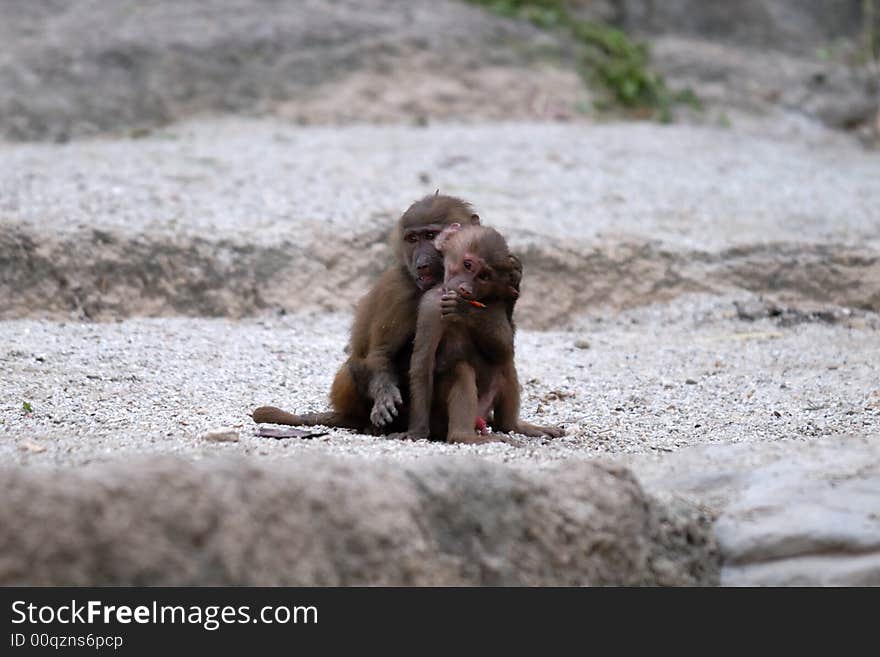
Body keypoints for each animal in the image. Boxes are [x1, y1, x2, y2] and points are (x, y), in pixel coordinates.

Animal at [253, 192, 488, 434]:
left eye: (431, 236)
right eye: (413, 239)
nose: (421, 264)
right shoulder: (398, 288)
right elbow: (380, 352)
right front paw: (385, 395)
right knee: (355, 367)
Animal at [394, 223, 560, 444]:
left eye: (484, 277)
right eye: (467, 265)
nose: (465, 289)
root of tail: (478, 419)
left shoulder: (496, 301)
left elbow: (504, 349)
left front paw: (465, 310)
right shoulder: (432, 305)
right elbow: (423, 364)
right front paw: (416, 432)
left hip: (485, 404)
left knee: (505, 364)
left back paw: (513, 426)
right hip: (441, 418)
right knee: (461, 369)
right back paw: (463, 436)